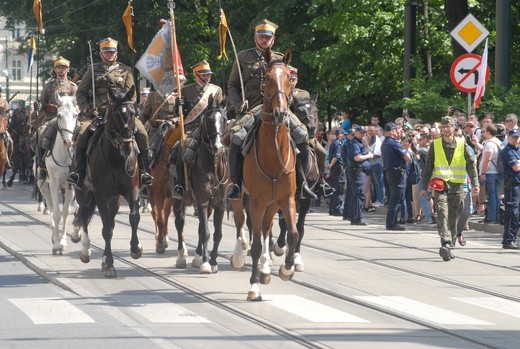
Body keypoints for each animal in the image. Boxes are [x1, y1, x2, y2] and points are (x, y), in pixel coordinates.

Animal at [37, 92, 78, 254]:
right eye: (59, 115)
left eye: (75, 115)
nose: (69, 141)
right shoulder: (54, 184)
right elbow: (56, 213)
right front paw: (56, 244)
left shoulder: (71, 186)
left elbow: (66, 212)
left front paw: (63, 241)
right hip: (43, 184)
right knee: (50, 205)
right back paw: (53, 235)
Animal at [70, 85, 142, 276]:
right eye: (116, 113)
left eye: (133, 112)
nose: (127, 146)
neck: (116, 158)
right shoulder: (101, 195)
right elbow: (105, 230)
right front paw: (108, 263)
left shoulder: (132, 190)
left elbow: (133, 217)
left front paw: (135, 248)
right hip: (82, 191)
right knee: (84, 214)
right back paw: (85, 250)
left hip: (114, 199)